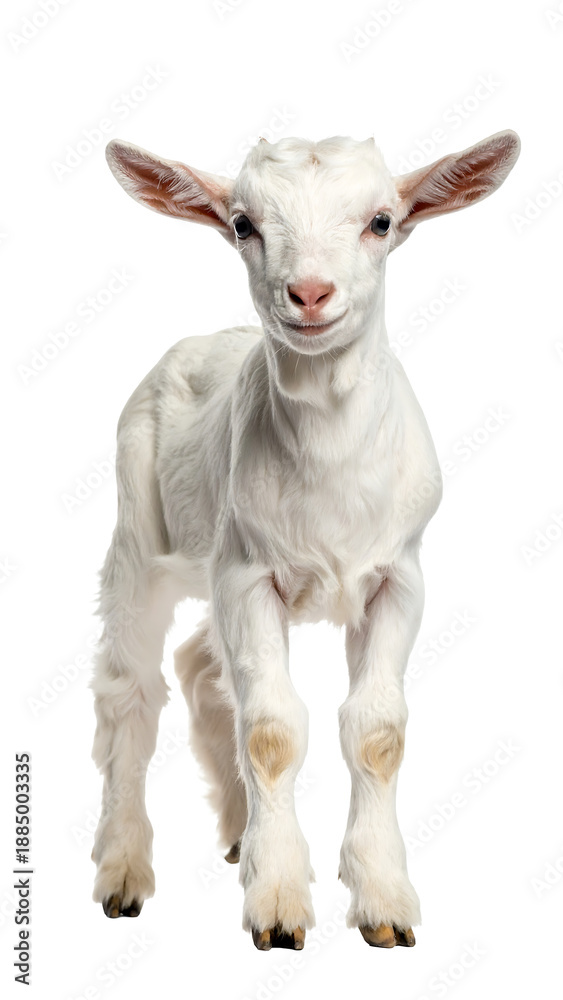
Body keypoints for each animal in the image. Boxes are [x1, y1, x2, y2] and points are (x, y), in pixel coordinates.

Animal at [91, 130, 520, 950]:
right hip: (139, 529)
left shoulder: (398, 577)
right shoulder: (247, 575)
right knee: (131, 688)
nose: (311, 294)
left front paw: (383, 902)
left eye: (381, 221)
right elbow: (272, 730)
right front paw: (280, 904)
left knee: (198, 667)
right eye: (242, 224)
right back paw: (124, 871)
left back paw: (237, 832)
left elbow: (378, 730)